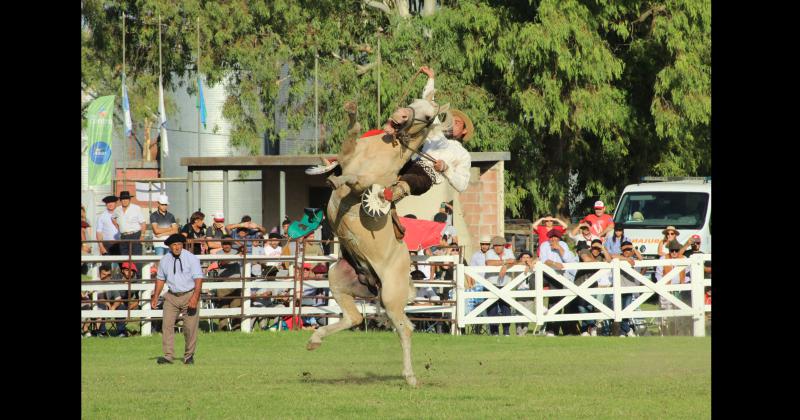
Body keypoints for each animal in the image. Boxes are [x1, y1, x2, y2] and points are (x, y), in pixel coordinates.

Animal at [306, 98, 450, 388]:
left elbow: (357, 181)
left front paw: (337, 179)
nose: (402, 115)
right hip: (338, 277)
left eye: (430, 116)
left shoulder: (364, 184)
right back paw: (315, 339)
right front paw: (351, 110)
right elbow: (351, 135)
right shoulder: (348, 155)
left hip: (392, 298)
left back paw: (410, 377)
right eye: (413, 102)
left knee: (405, 329)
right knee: (355, 317)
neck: (381, 151)